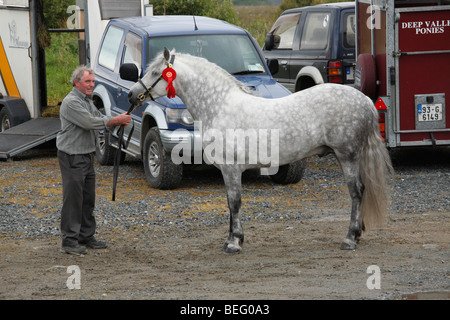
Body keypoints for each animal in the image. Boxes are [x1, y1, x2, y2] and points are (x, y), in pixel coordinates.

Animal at [128, 48, 392, 252]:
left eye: (155, 73)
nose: (132, 94)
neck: (220, 106)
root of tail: (365, 101)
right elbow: (230, 203)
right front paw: (233, 239)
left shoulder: (231, 168)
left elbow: (234, 202)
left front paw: (234, 243)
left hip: (347, 156)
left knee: (356, 192)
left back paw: (350, 238)